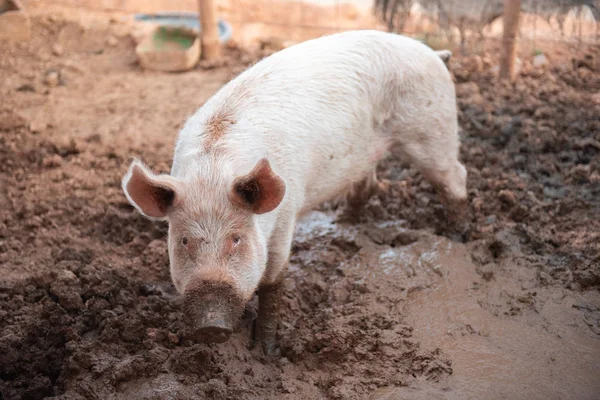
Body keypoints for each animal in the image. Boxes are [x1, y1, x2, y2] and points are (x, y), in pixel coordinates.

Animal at [122, 31, 468, 356]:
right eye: (183, 241)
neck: (212, 173)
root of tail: (433, 53)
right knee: (369, 183)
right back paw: (344, 221)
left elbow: (274, 280)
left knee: (456, 176)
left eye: (236, 239)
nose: (211, 326)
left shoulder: (287, 211)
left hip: (432, 129)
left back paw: (458, 237)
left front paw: (267, 351)